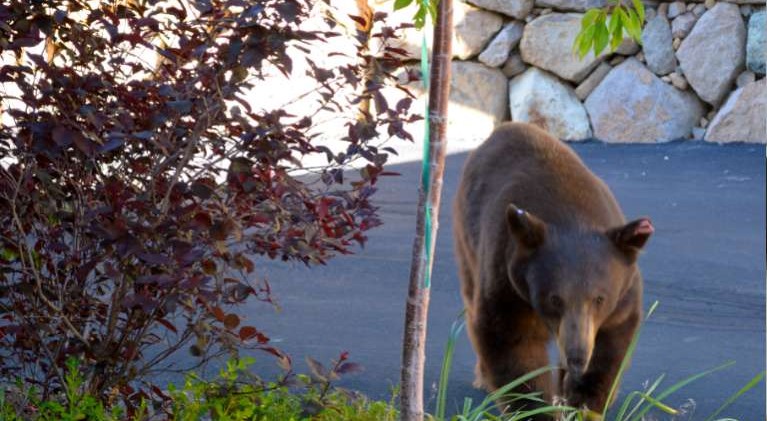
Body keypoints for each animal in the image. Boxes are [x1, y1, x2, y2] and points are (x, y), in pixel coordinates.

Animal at [452, 122, 653, 417]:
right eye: (554, 299)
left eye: (600, 298)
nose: (577, 357)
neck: (573, 216)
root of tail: (504, 128)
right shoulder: (508, 282)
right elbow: (510, 342)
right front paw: (535, 409)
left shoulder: (623, 292)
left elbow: (612, 344)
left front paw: (583, 403)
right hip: (468, 239)